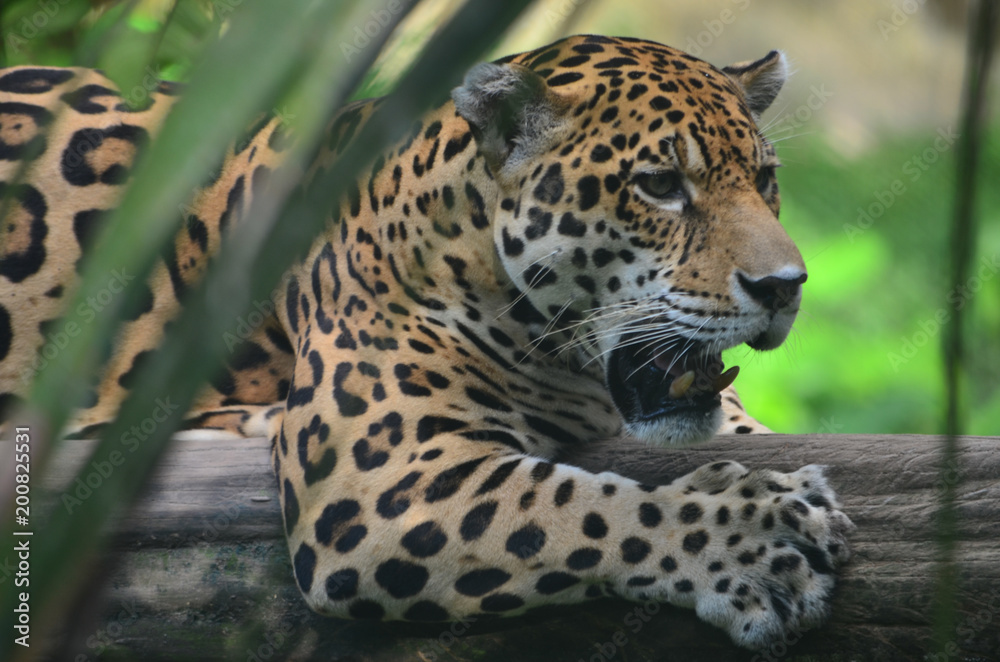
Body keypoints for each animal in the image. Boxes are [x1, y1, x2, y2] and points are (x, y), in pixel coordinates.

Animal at [0, 34, 852, 649]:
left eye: (765, 180)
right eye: (660, 186)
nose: (785, 286)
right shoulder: (368, 488)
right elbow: (584, 508)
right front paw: (758, 537)